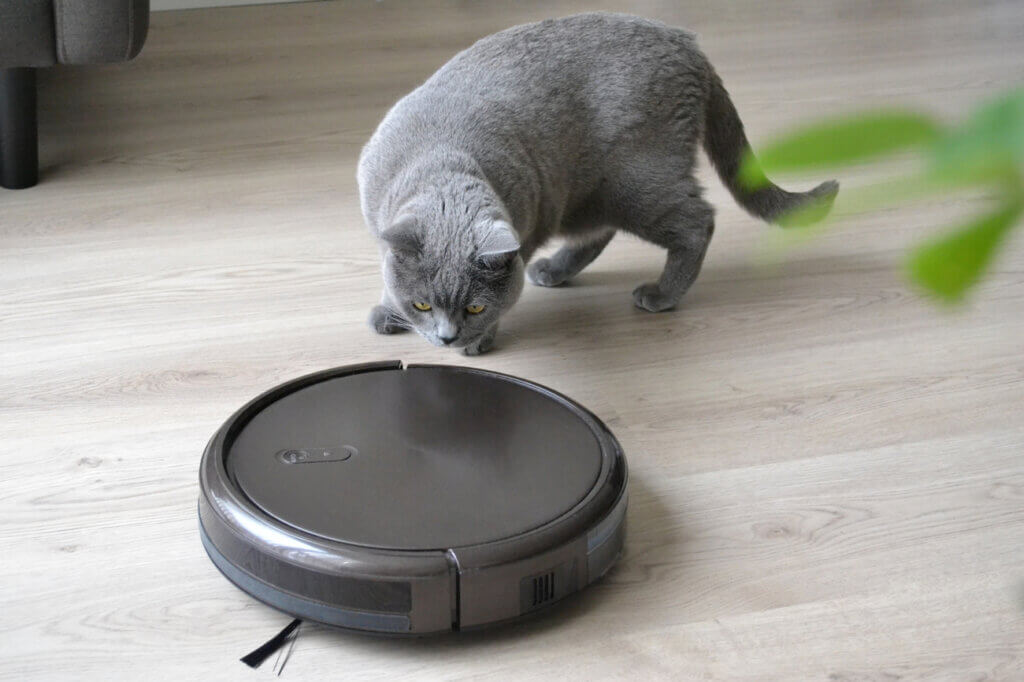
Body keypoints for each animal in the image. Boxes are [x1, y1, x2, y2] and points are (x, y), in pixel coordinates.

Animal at [356, 11, 835, 356]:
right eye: (422, 304)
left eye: (475, 307)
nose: (447, 338)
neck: (444, 163)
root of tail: (688, 44)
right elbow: (388, 271)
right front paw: (387, 312)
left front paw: (480, 339)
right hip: (585, 191)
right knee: (599, 232)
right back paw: (553, 270)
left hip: (637, 181)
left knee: (699, 220)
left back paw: (661, 294)